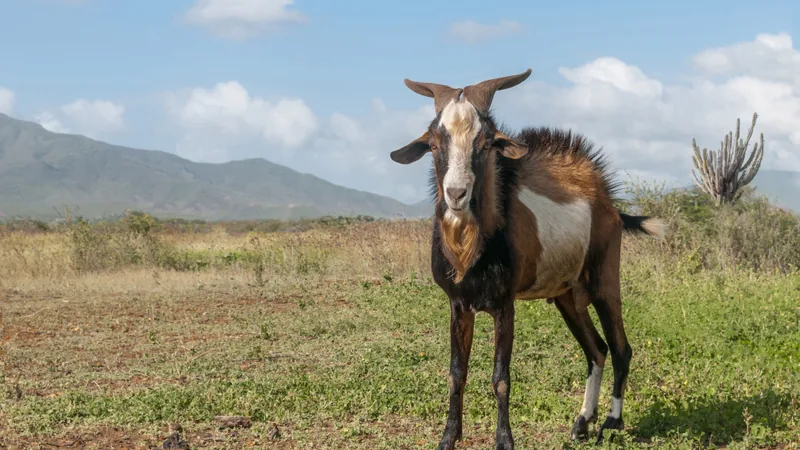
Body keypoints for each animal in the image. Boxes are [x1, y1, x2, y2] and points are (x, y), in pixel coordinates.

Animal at [389, 68, 664, 449]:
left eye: (486, 143)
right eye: (433, 143)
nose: (457, 194)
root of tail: (609, 203)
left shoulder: (505, 305)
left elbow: (500, 376)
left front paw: (504, 440)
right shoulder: (459, 305)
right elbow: (456, 374)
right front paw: (448, 438)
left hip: (605, 281)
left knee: (621, 347)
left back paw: (611, 422)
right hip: (567, 295)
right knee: (596, 349)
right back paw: (582, 423)